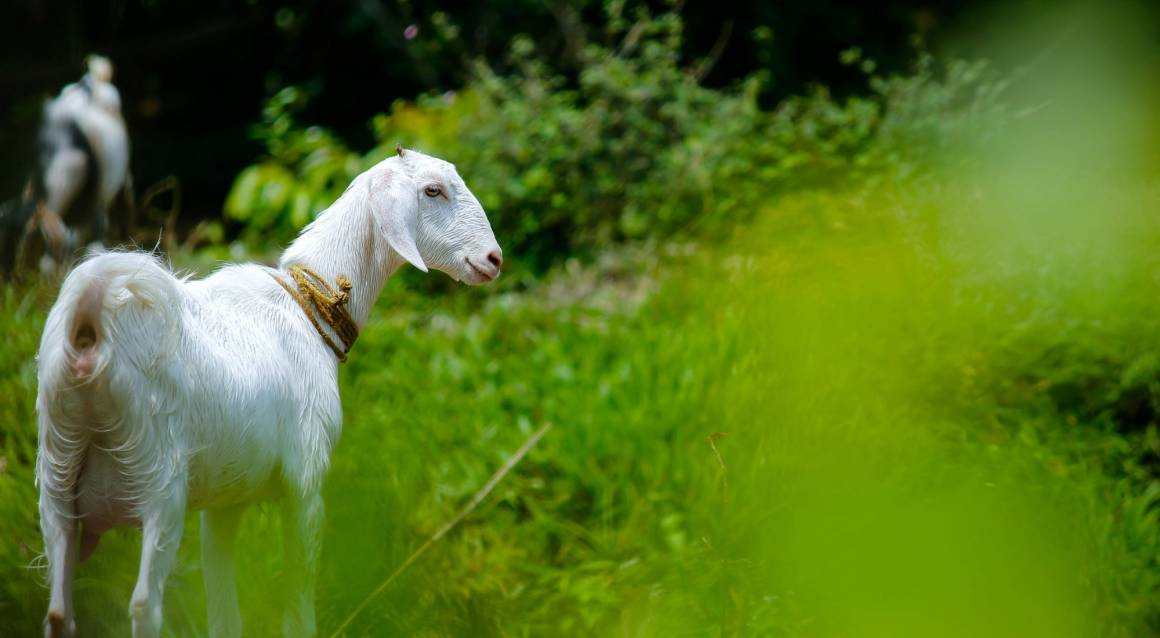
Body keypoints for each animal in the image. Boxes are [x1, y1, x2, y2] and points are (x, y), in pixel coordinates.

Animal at [35, 146, 503, 637]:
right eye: (433, 190)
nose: (494, 259)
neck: (305, 307)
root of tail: (90, 322)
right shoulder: (306, 480)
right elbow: (297, 602)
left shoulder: (225, 498)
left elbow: (224, 612)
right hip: (158, 477)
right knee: (145, 604)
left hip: (58, 474)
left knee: (59, 609)